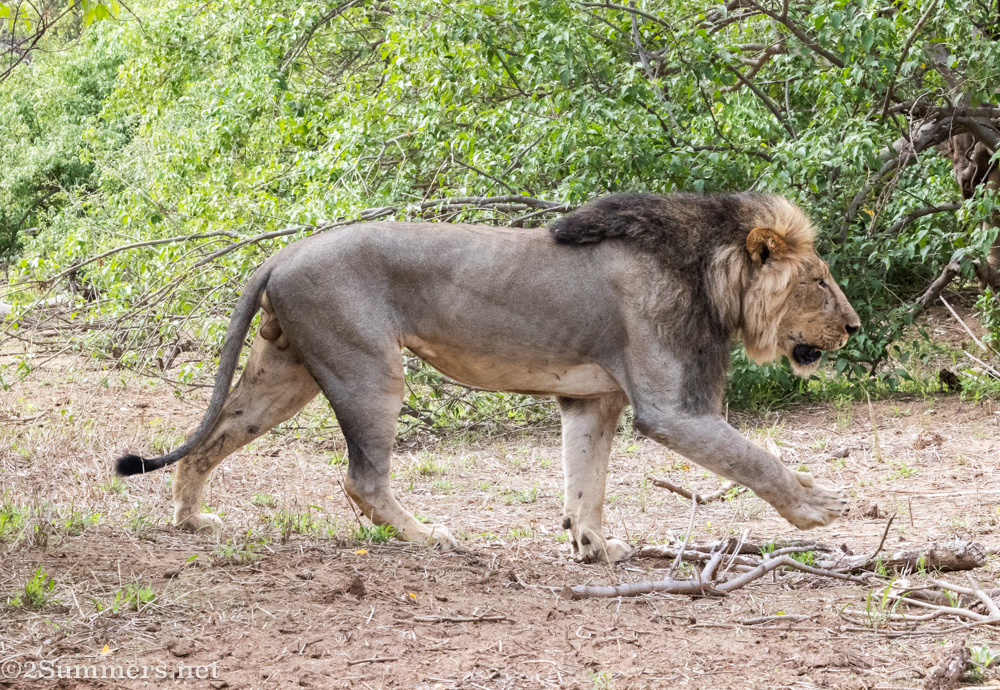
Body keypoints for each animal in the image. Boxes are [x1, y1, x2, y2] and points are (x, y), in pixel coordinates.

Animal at [115, 191, 860, 563]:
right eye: (820, 282)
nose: (853, 327)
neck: (710, 276)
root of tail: (282, 252)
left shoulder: (591, 401)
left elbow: (585, 484)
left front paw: (595, 548)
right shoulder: (670, 408)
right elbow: (754, 459)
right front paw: (821, 506)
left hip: (285, 375)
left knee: (210, 441)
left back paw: (190, 518)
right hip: (370, 369)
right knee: (361, 480)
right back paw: (428, 538)